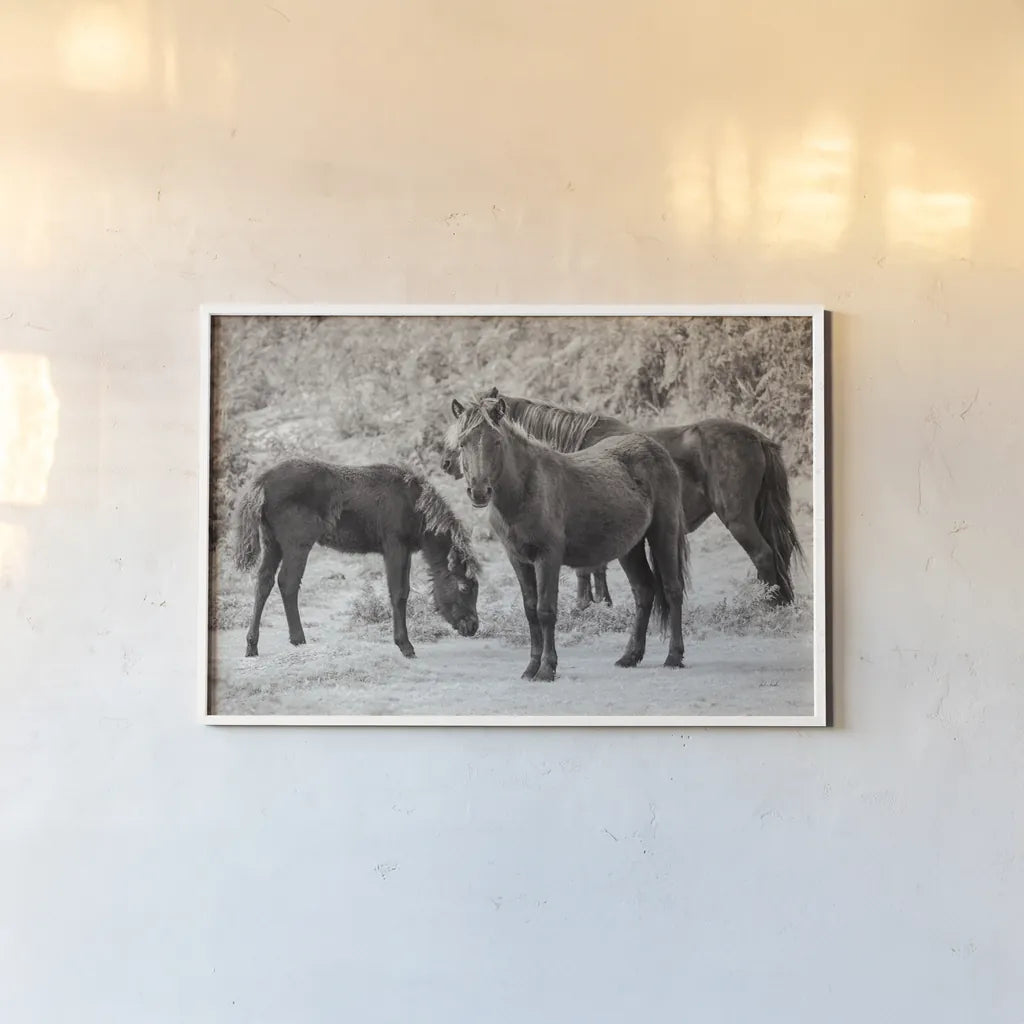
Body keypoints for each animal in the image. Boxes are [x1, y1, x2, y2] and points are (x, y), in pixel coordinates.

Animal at [232, 459, 480, 658]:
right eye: (464, 587)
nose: (473, 626)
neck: (417, 509)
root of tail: (262, 483)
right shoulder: (394, 545)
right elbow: (399, 593)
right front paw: (405, 645)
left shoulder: (406, 550)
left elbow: (404, 591)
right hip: (297, 544)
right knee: (287, 583)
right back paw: (298, 639)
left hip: (272, 542)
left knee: (264, 582)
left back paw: (252, 645)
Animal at [442, 390, 803, 606]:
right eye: (462, 437)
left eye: (491, 441)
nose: (446, 464)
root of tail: (756, 437)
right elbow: (596, 566)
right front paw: (600, 602)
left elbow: (587, 569)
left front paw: (585, 604)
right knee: (777, 554)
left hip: (737, 518)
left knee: (763, 555)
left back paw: (767, 602)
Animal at [450, 393, 688, 681]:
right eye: (463, 442)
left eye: (496, 441)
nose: (479, 492)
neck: (527, 489)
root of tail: (655, 447)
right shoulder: (519, 560)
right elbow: (530, 611)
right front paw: (531, 668)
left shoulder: (548, 558)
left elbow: (546, 611)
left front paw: (546, 669)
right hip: (630, 548)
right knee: (644, 591)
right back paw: (630, 657)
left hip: (663, 533)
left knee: (673, 589)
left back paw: (674, 657)